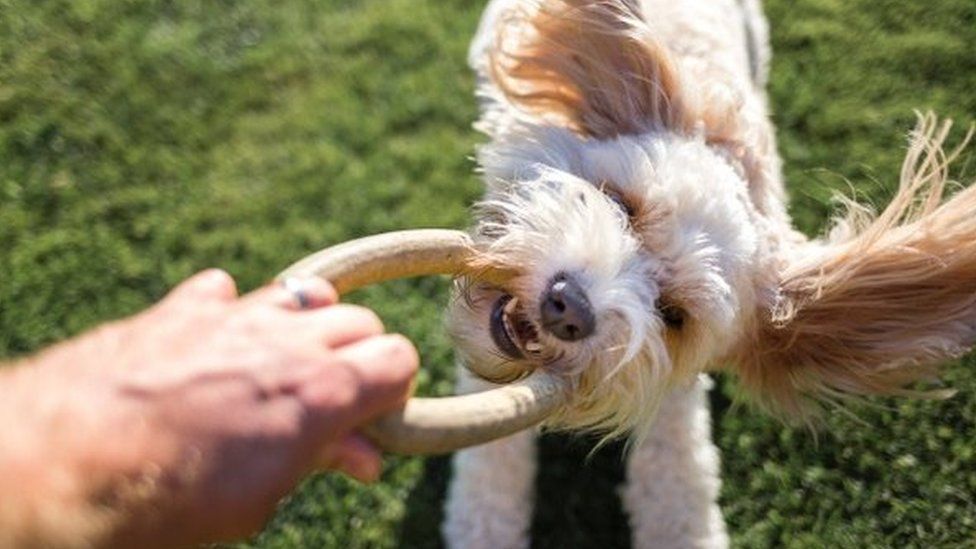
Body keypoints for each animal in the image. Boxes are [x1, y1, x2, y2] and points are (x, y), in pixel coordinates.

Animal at [444, 1, 976, 548]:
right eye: (621, 204)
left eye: (673, 314)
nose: (568, 306)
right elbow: (489, 473)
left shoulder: (674, 405)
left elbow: (679, 497)